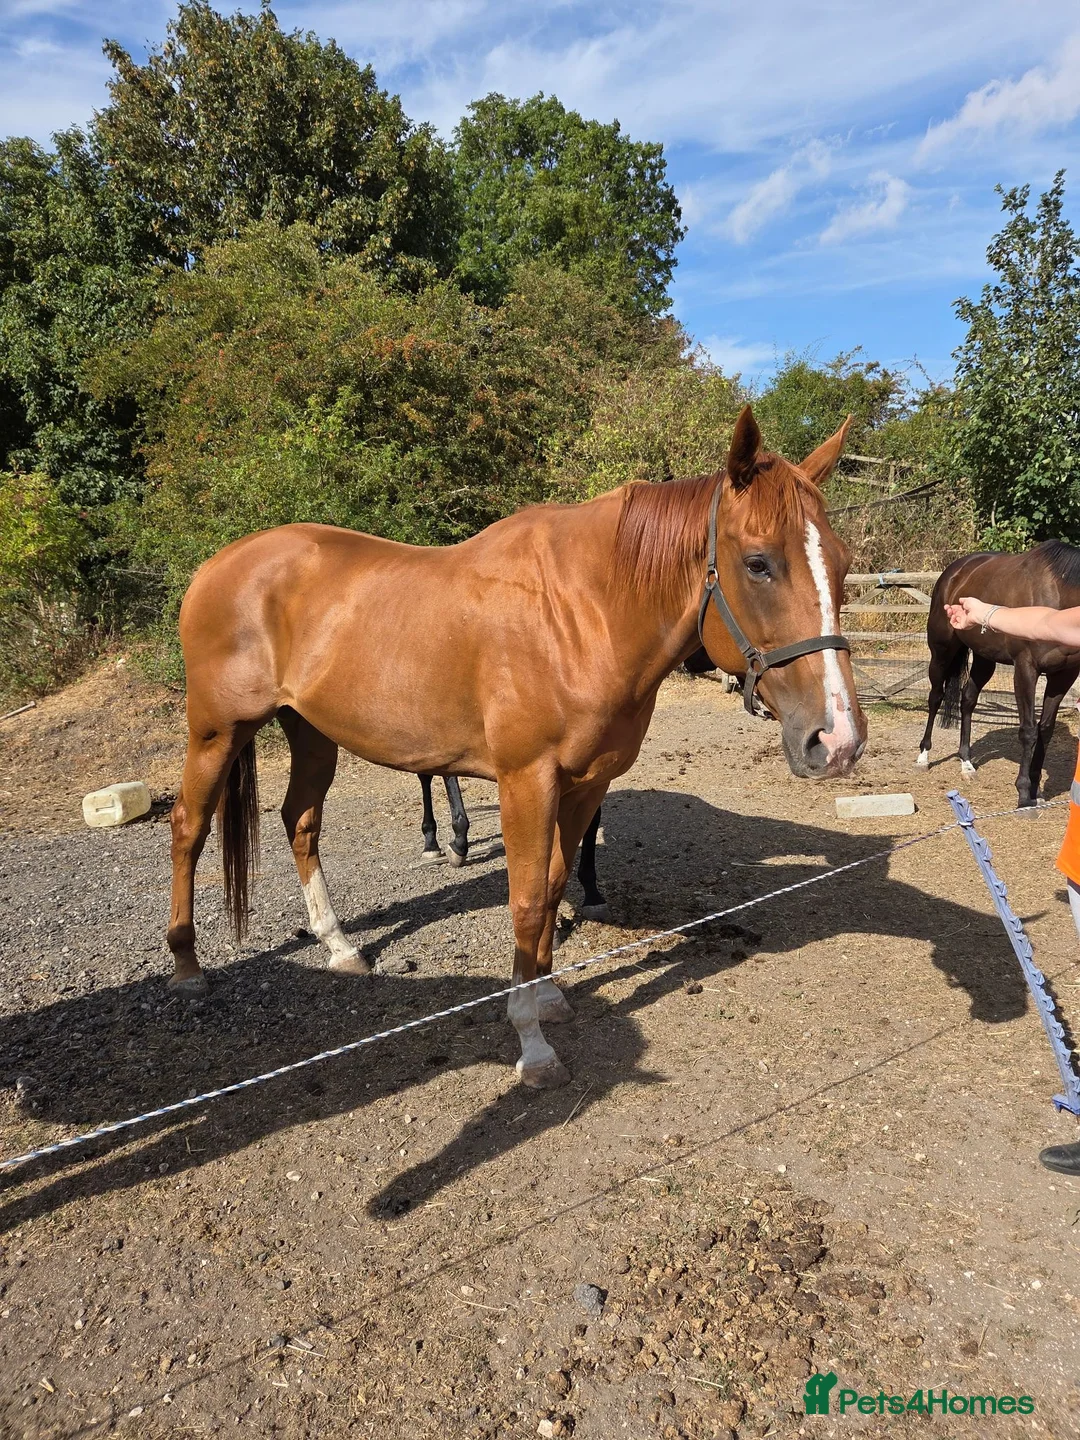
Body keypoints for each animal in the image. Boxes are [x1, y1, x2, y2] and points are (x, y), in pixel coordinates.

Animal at [166, 405, 866, 1088]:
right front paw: (531, 1043)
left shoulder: (586, 783)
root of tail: (215, 567)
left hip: (312, 732)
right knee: (189, 827)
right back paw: (187, 968)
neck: (581, 614)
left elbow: (555, 884)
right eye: (758, 563)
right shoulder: (526, 781)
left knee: (300, 822)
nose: (837, 740)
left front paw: (551, 996)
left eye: (841, 562)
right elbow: (527, 903)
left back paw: (339, 947)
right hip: (216, 731)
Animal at [917, 541, 1080, 806]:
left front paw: (1035, 787)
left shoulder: (1064, 674)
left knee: (968, 699)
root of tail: (955, 571)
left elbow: (1045, 729)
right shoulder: (1026, 669)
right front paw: (1023, 792)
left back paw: (967, 764)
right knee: (935, 698)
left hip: (985, 658)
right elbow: (1028, 730)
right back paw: (923, 756)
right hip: (942, 652)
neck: (1058, 594)